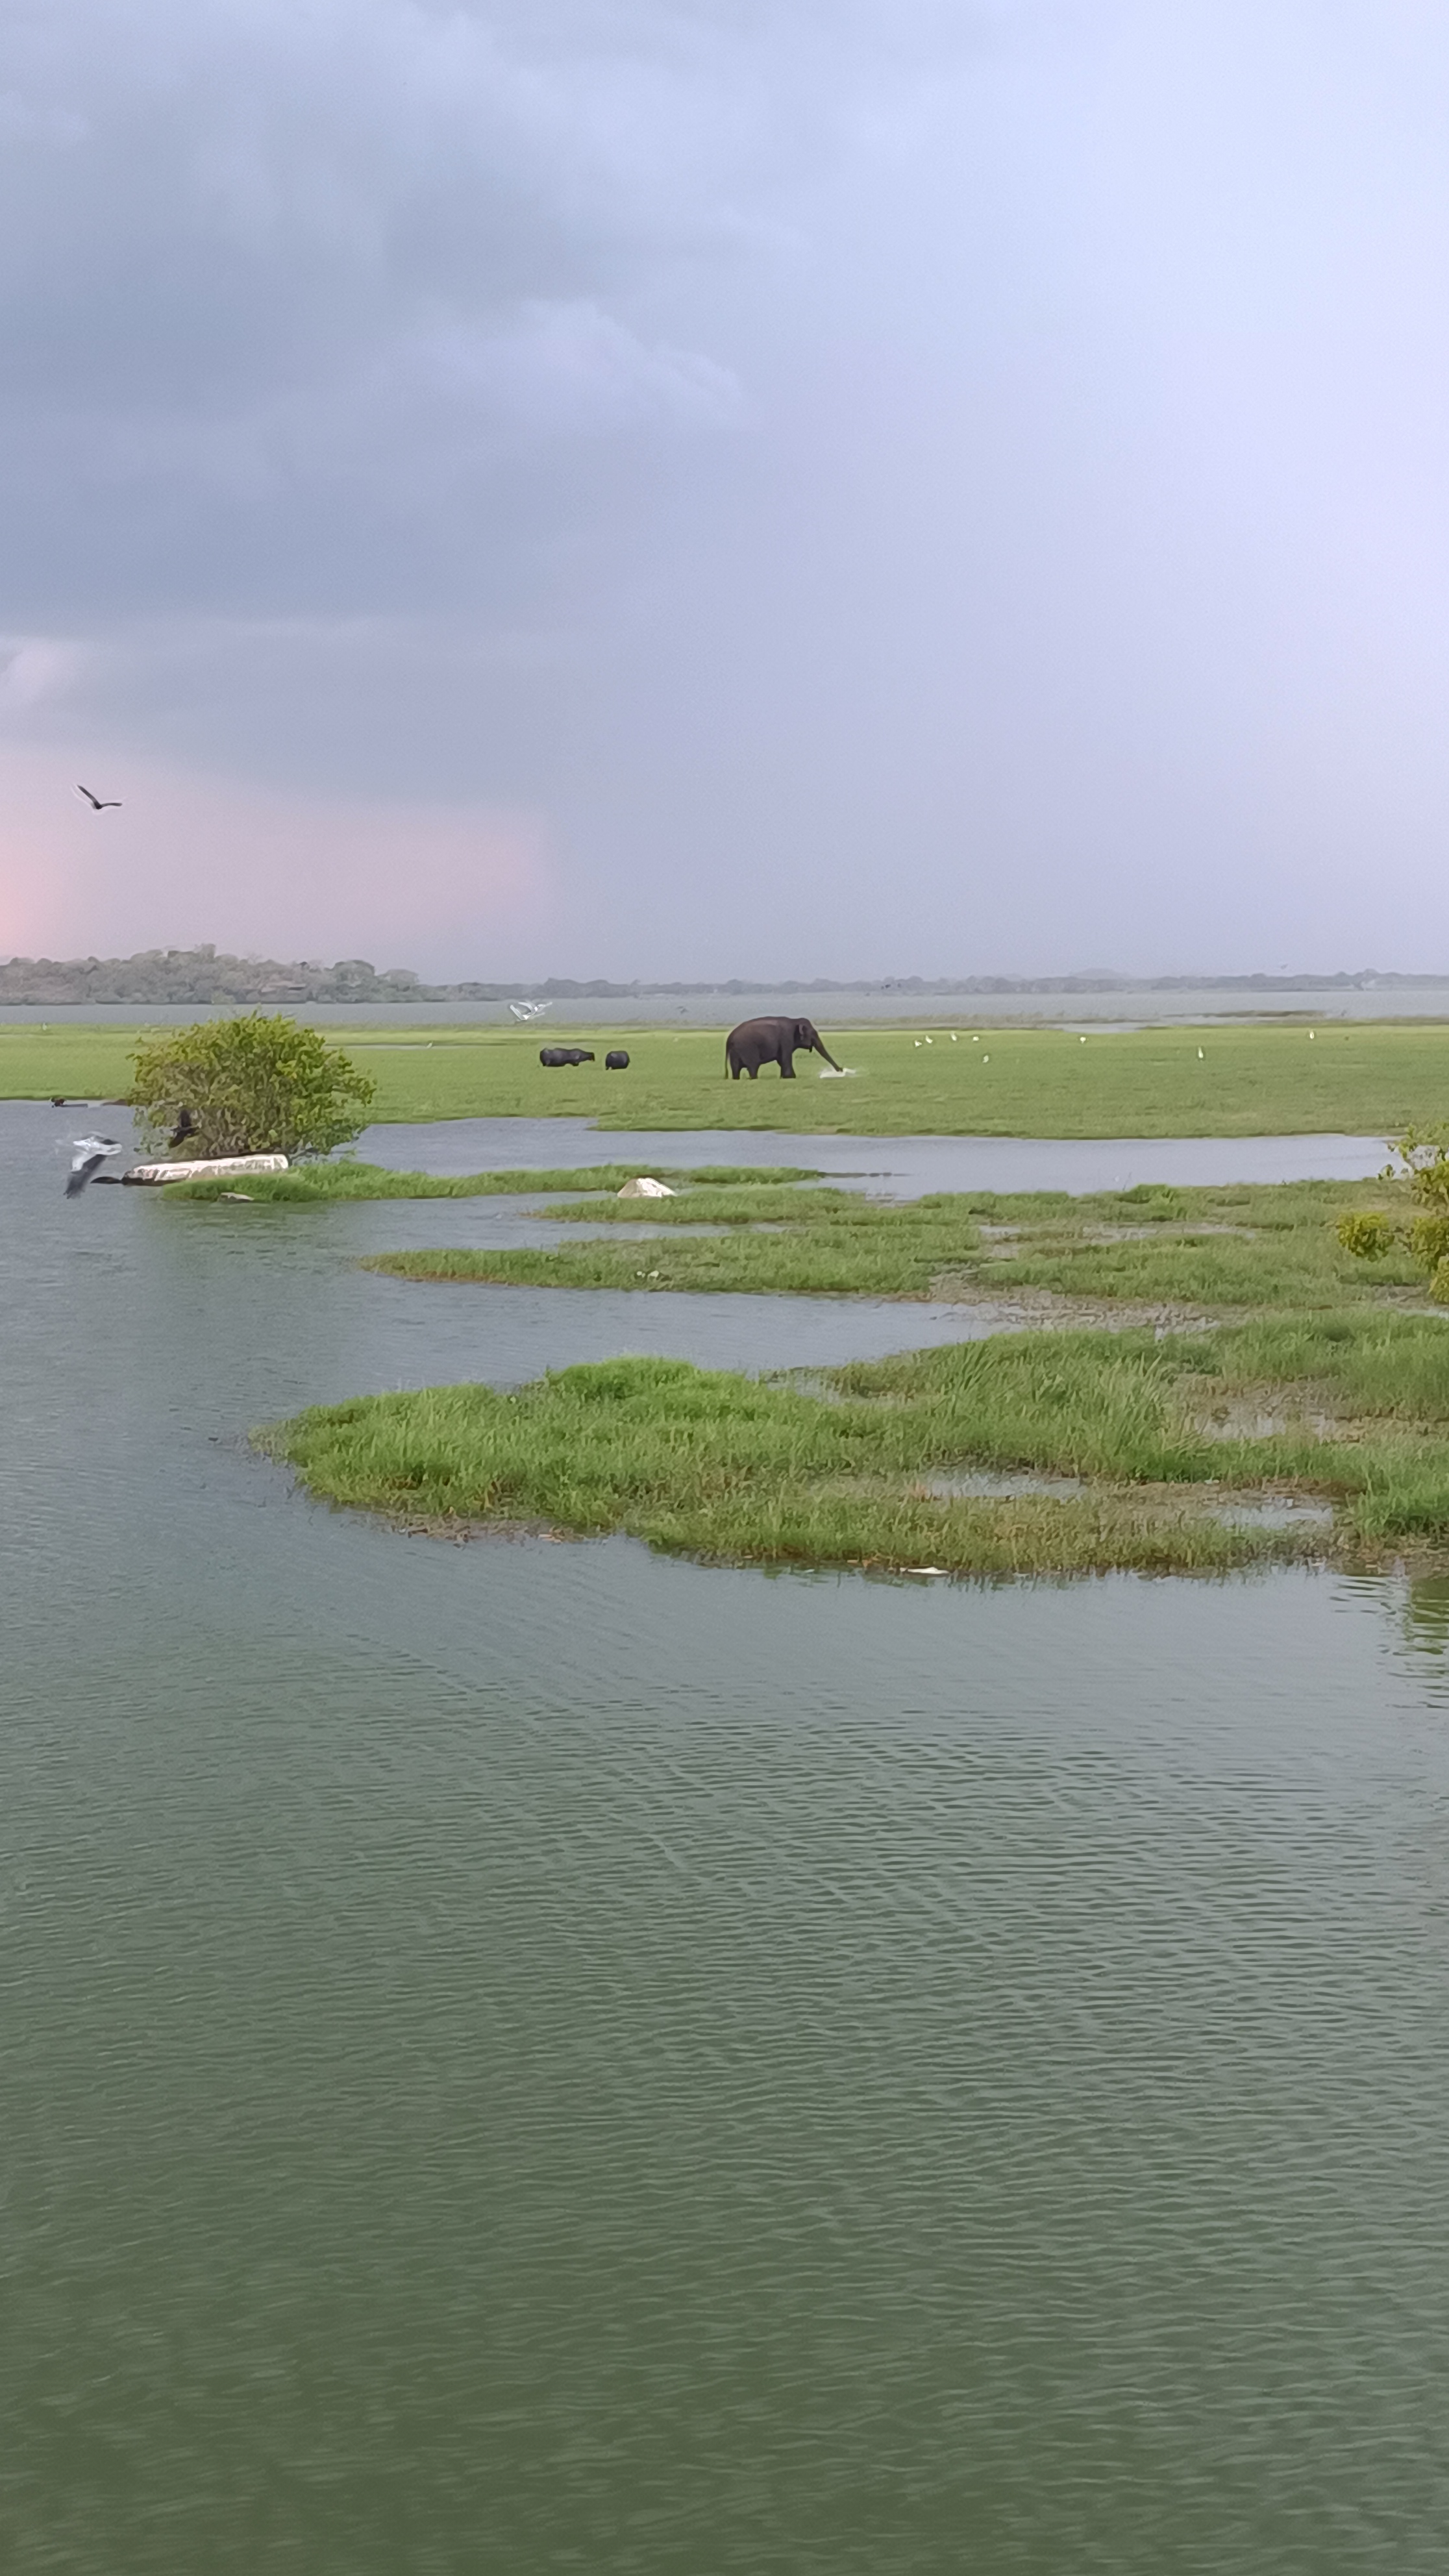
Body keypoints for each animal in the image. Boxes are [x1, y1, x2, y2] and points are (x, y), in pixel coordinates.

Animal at [726, 1015, 840, 1076]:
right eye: (813, 1033)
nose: (841, 1070)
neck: (795, 1020)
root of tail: (729, 1038)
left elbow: (781, 1060)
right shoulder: (786, 1038)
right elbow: (785, 1058)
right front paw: (790, 1077)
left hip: (735, 1051)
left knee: (736, 1069)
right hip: (747, 1049)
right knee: (753, 1066)